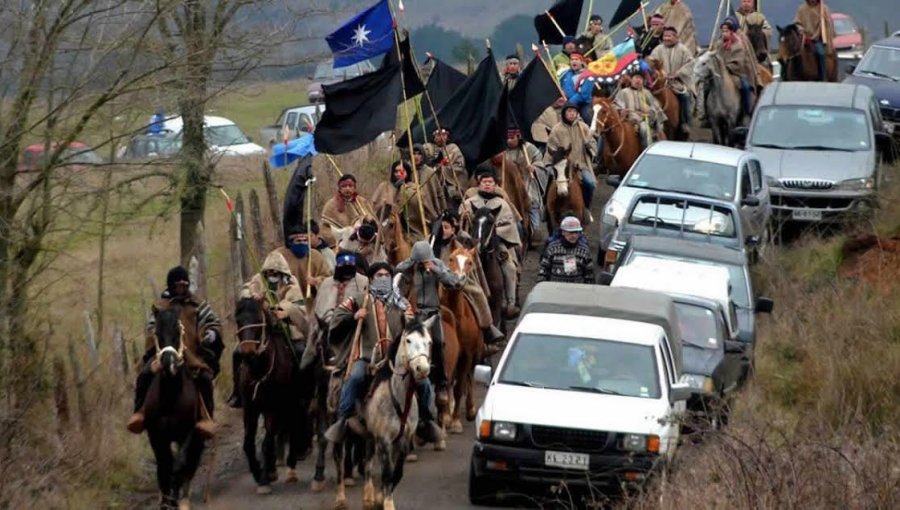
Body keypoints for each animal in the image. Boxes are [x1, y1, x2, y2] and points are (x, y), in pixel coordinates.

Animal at [142, 304, 206, 508]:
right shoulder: (156, 434)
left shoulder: (187, 433)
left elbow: (179, 464)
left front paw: (174, 500)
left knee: (190, 463)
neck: (170, 397)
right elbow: (164, 465)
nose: (168, 363)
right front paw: (165, 501)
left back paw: (183, 497)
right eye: (157, 332)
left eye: (178, 331)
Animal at [234, 294, 312, 494]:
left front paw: (264, 480)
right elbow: (248, 443)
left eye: (258, 319)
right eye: (238, 320)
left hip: (296, 403)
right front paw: (259, 472)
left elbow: (267, 442)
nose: (247, 353)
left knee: (294, 427)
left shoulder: (273, 408)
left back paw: (291, 466)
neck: (259, 370)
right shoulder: (250, 408)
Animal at [358, 314, 436, 510]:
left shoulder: (403, 440)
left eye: (429, 342)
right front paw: (384, 502)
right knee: (368, 463)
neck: (399, 399)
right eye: (408, 340)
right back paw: (368, 497)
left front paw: (384, 497)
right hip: (369, 436)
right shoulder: (384, 439)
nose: (422, 369)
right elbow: (386, 472)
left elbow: (397, 472)